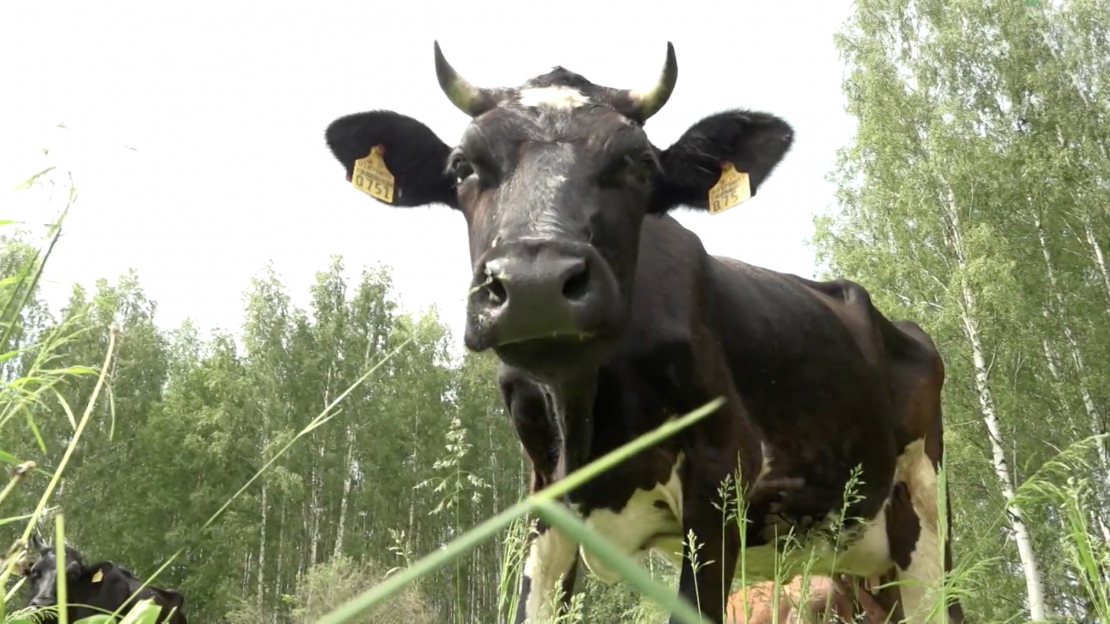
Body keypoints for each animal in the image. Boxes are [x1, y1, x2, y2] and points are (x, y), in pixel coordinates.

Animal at [324, 39, 967, 621]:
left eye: (637, 163)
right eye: (462, 166)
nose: (536, 282)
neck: (588, 416)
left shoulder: (722, 475)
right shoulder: (545, 498)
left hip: (926, 519)